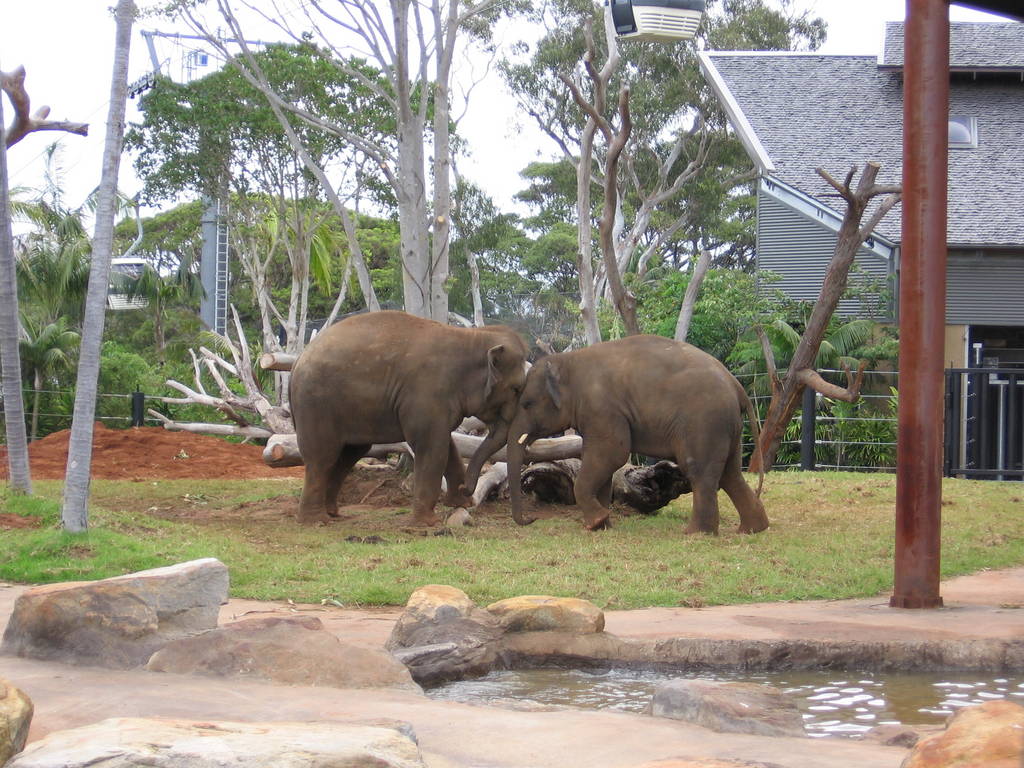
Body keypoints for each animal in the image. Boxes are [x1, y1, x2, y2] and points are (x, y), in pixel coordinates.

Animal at [289, 311, 528, 526]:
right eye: (517, 389)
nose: (467, 489)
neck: (472, 337)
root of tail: (298, 360)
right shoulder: (427, 393)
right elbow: (432, 447)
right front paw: (427, 523)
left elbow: (447, 445)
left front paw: (461, 504)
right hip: (316, 404)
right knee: (322, 456)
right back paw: (315, 521)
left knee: (350, 453)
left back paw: (333, 513)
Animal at [504, 335, 769, 535]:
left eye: (527, 403)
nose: (531, 520)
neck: (568, 360)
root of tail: (737, 385)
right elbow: (603, 463)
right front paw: (603, 525)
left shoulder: (602, 408)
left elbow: (612, 454)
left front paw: (595, 523)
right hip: (727, 426)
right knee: (730, 474)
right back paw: (752, 529)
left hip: (704, 422)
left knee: (700, 471)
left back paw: (696, 534)